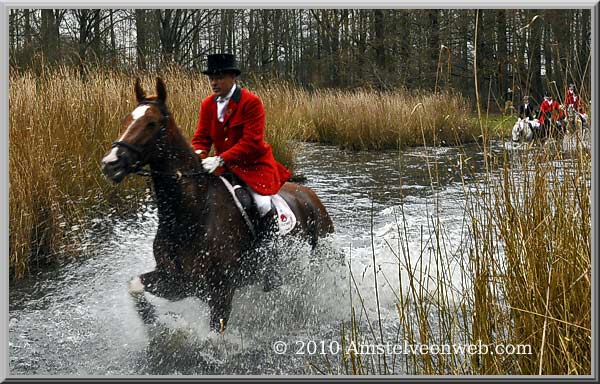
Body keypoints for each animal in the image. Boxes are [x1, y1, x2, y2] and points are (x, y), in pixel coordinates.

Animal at [101, 77, 336, 330]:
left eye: (151, 124)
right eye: (126, 120)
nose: (110, 163)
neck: (190, 215)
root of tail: (310, 195)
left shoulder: (221, 290)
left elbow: (214, 334)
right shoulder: (178, 281)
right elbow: (134, 285)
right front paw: (153, 322)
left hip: (321, 255)